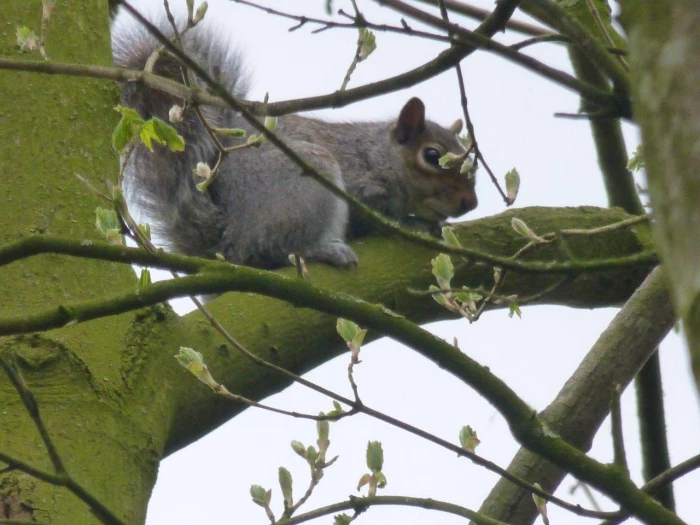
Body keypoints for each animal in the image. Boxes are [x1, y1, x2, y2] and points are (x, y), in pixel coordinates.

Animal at [112, 8, 478, 268]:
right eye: (432, 156)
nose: (470, 203)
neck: (379, 154)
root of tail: (229, 243)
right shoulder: (362, 185)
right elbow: (381, 218)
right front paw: (415, 225)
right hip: (305, 190)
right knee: (275, 246)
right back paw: (323, 250)